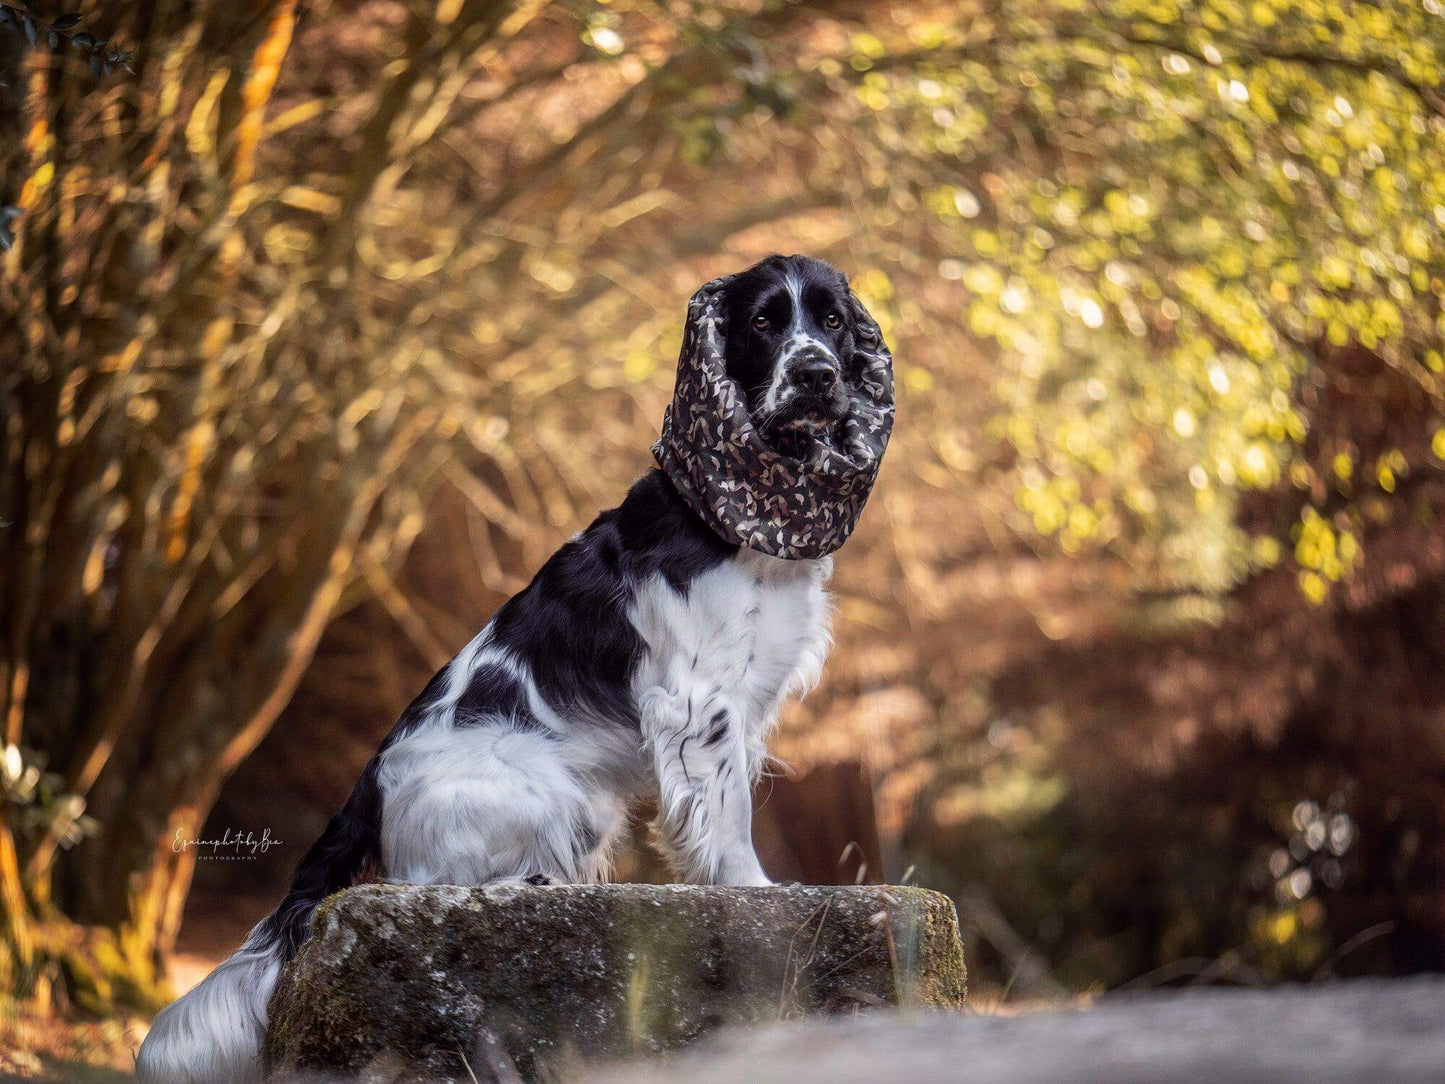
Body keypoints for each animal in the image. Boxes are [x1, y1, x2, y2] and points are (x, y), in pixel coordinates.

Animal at [135, 257, 872, 1084]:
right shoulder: (697, 699)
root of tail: (369, 785)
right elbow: (728, 819)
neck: (743, 523)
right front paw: (753, 892)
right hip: (555, 795)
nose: (815, 374)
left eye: (832, 321)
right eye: (762, 322)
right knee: (427, 885)